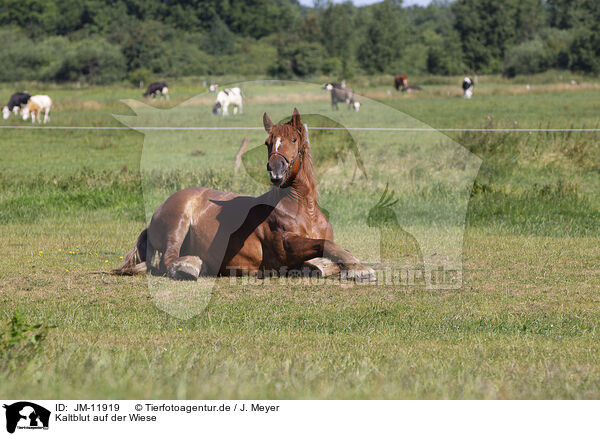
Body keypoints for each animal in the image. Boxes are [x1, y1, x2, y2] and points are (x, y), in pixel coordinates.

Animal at [112, 107, 376, 282]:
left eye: (293, 139)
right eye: (268, 142)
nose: (275, 170)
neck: (304, 209)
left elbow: (327, 260)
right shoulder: (286, 247)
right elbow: (327, 246)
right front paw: (361, 269)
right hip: (178, 223)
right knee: (167, 260)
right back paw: (190, 267)